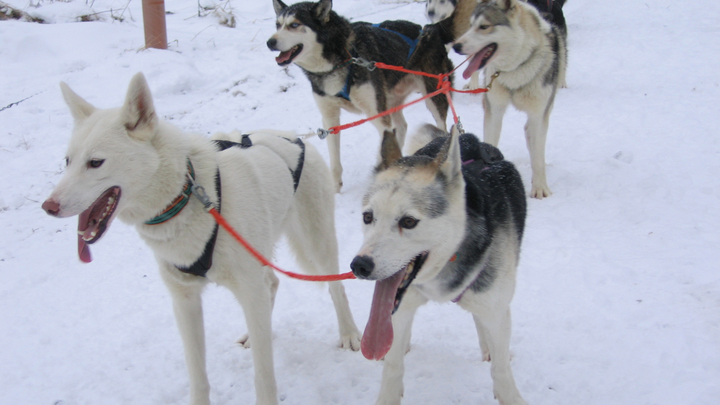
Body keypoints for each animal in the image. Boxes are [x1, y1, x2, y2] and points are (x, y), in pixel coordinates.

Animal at [39, 72, 360, 404]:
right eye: (67, 161)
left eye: (95, 162)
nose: (48, 206)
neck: (188, 197)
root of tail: (295, 137)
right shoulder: (185, 301)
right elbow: (198, 375)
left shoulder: (248, 290)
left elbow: (263, 376)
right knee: (272, 283)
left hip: (316, 242)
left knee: (335, 286)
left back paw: (348, 333)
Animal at [268, 0, 452, 192]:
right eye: (277, 25)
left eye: (294, 25)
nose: (270, 42)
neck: (341, 58)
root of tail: (429, 29)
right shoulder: (330, 118)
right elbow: (335, 160)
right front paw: (336, 190)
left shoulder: (378, 115)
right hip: (390, 100)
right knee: (401, 126)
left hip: (432, 95)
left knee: (440, 124)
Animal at [350, 124, 524, 402]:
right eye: (368, 217)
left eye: (408, 221)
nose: (360, 265)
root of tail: (466, 138)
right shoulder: (400, 309)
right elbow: (393, 366)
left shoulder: (496, 309)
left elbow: (501, 368)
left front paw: (510, 395)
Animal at [456, 0, 568, 197]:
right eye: (470, 26)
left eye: (483, 26)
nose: (456, 46)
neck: (516, 70)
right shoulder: (494, 110)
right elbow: (489, 142)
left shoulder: (538, 114)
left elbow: (537, 156)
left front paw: (540, 188)